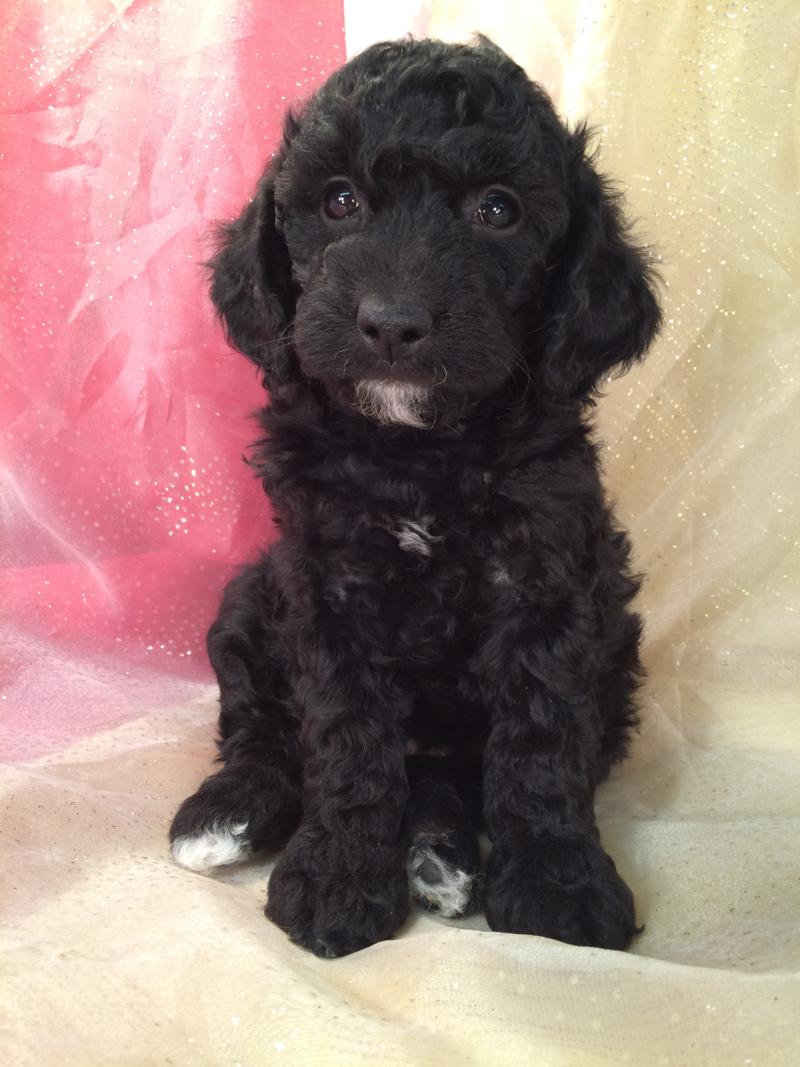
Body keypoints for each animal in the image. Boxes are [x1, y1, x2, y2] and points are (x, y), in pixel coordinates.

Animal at [167, 39, 657, 960]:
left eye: (498, 210)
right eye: (340, 200)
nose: (392, 322)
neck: (419, 451)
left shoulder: (549, 581)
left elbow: (541, 734)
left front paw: (557, 884)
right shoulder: (325, 585)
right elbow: (345, 735)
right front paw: (337, 877)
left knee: (447, 771)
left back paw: (438, 854)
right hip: (250, 596)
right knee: (260, 726)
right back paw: (232, 810)